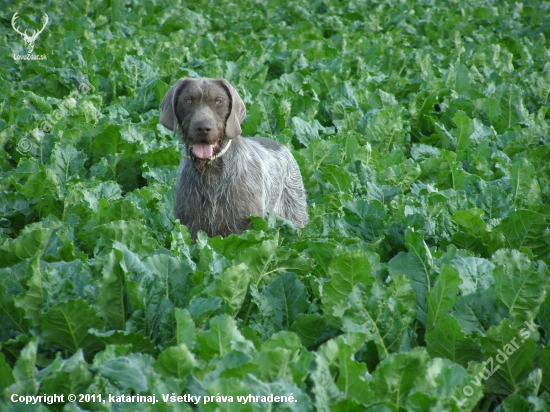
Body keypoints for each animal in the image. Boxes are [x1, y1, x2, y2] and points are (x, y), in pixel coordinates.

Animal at [158, 78, 310, 238]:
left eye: (218, 101)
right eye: (188, 100)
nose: (203, 128)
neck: (210, 171)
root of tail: (282, 145)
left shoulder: (243, 228)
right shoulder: (191, 227)